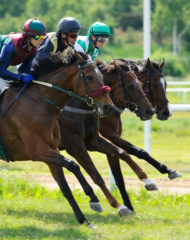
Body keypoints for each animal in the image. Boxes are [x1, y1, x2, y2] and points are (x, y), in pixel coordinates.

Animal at [0, 50, 114, 227]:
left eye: (101, 76)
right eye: (89, 77)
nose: (108, 107)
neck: (39, 102)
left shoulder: (51, 150)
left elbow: (65, 187)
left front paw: (84, 219)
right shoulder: (38, 151)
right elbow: (73, 165)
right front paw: (94, 200)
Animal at [58, 59, 154, 213]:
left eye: (140, 83)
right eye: (131, 86)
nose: (150, 110)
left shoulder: (93, 139)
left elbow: (126, 153)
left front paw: (150, 179)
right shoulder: (76, 144)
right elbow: (100, 174)